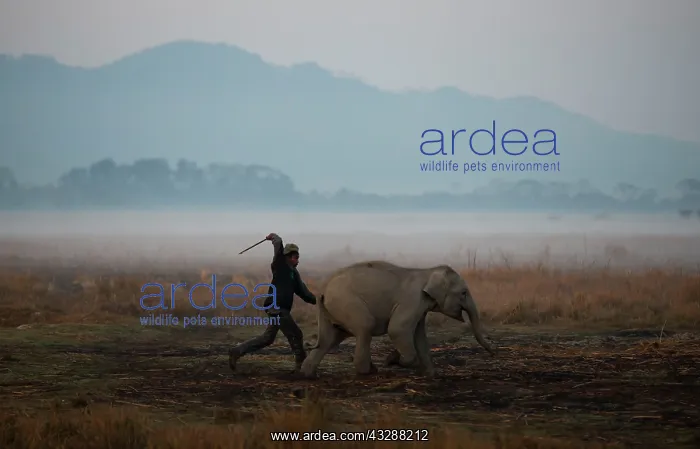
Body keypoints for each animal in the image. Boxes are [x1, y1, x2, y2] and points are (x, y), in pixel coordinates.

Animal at [300, 260, 495, 378]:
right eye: (463, 293)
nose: (494, 351)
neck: (428, 272)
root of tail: (323, 290)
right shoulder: (412, 301)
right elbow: (397, 329)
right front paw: (392, 360)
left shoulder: (420, 307)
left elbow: (420, 337)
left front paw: (432, 375)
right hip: (346, 302)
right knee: (365, 327)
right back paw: (368, 372)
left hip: (333, 310)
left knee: (330, 339)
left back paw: (307, 375)